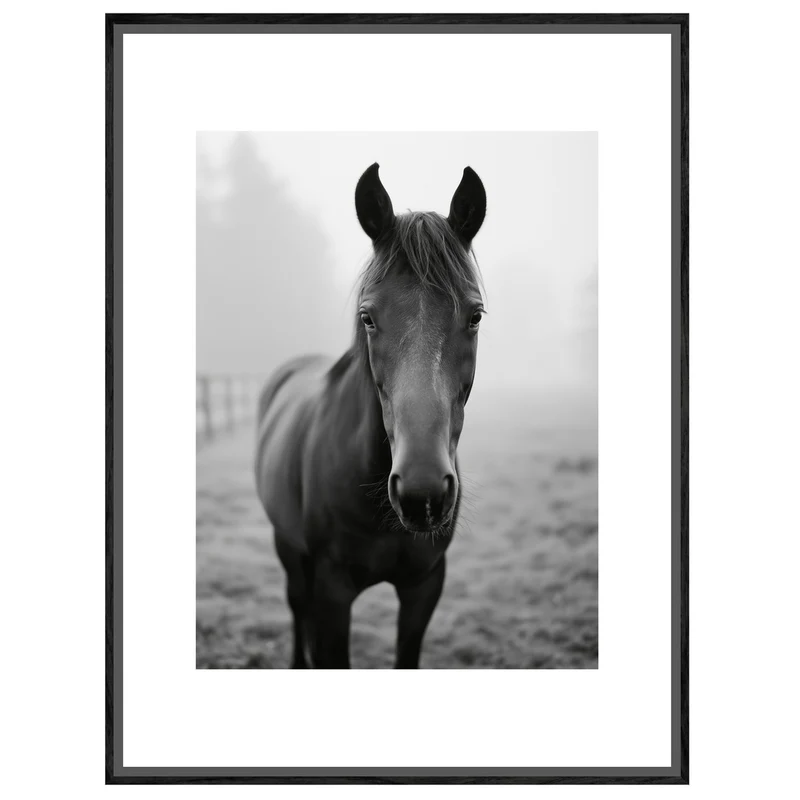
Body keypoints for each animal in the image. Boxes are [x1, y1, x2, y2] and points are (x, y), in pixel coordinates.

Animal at [255, 163, 486, 668]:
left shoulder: (424, 588)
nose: (422, 494)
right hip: (288, 548)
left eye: (476, 315)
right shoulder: (332, 592)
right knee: (296, 605)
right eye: (367, 317)